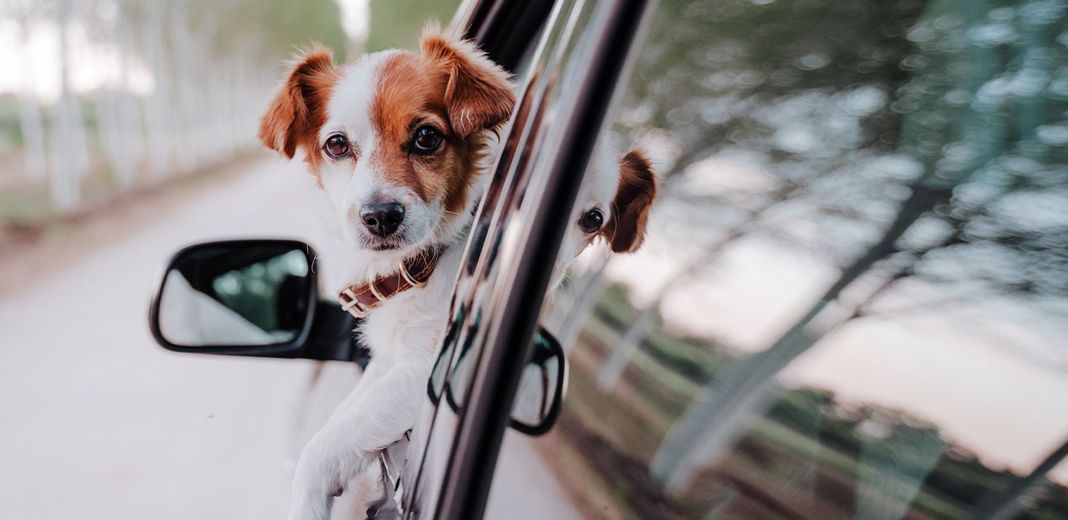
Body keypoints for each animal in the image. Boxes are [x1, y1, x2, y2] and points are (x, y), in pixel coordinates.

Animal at [260, 27, 649, 520]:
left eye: (427, 137)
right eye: (336, 144)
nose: (380, 216)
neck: (419, 266)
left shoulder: (424, 369)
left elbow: (324, 445)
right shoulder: (391, 362)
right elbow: (341, 420)